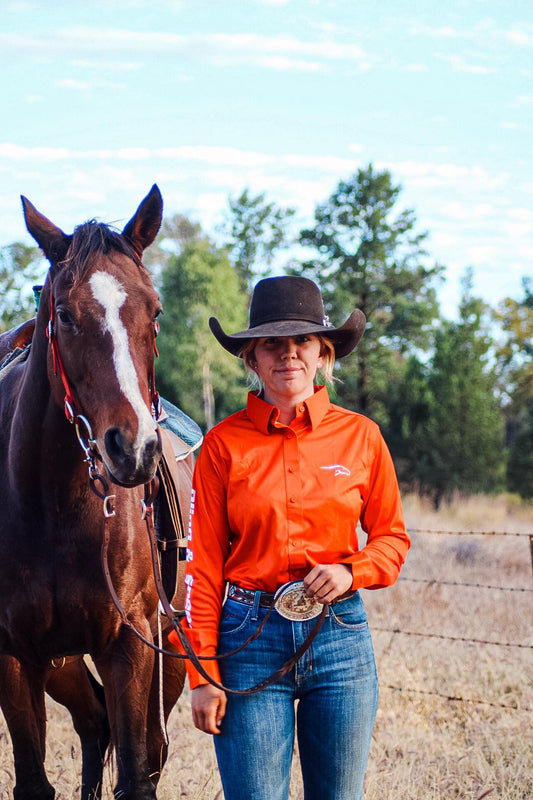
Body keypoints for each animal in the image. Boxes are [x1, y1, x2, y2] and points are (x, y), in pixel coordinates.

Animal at [0, 184, 193, 796]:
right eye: (64, 313)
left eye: (154, 310)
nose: (132, 448)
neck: (55, 506)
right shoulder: (14, 657)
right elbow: (33, 778)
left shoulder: (130, 647)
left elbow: (135, 772)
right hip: (60, 664)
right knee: (92, 722)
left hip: (169, 654)